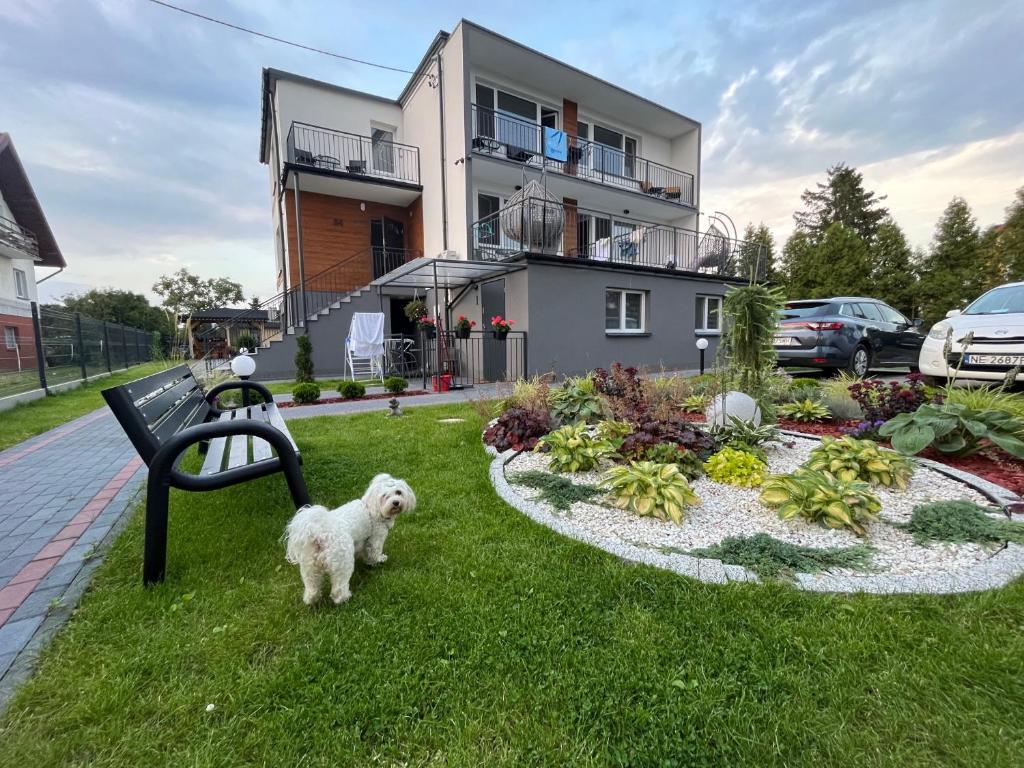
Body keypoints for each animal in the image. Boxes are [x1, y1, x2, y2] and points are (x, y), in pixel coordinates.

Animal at [282, 473, 413, 606]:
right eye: (385, 496)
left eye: (398, 492)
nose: (396, 502)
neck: (371, 508)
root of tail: (320, 532)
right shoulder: (376, 538)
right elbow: (374, 553)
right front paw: (378, 561)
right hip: (343, 562)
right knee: (339, 587)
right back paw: (344, 598)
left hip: (309, 567)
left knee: (312, 586)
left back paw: (312, 600)